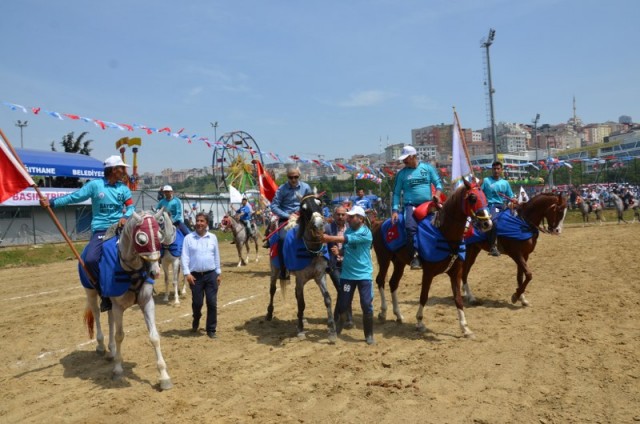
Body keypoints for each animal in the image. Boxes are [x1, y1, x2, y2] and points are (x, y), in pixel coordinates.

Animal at [81, 209, 174, 390]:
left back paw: (111, 351)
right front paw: (118, 370)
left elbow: (154, 336)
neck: (131, 271)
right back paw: (101, 346)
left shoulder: (147, 303)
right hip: (91, 293)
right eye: (142, 239)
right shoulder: (118, 307)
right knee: (97, 315)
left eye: (159, 235)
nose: (155, 272)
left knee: (109, 320)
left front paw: (164, 376)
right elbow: (120, 335)